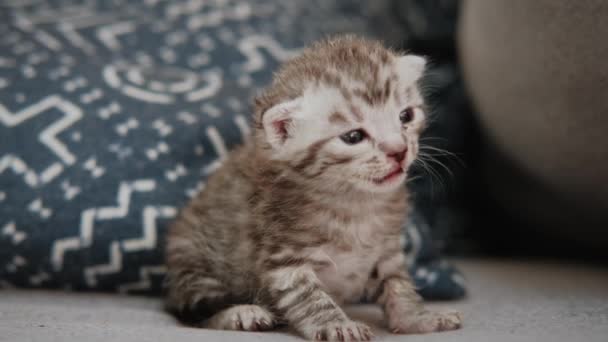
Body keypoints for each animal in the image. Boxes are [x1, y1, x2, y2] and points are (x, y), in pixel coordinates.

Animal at [166, 34, 460, 340]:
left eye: (406, 116)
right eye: (353, 136)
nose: (399, 151)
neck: (354, 204)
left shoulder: (387, 250)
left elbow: (398, 285)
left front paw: (419, 318)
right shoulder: (286, 259)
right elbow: (311, 298)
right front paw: (337, 324)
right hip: (195, 264)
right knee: (194, 309)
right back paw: (242, 313)